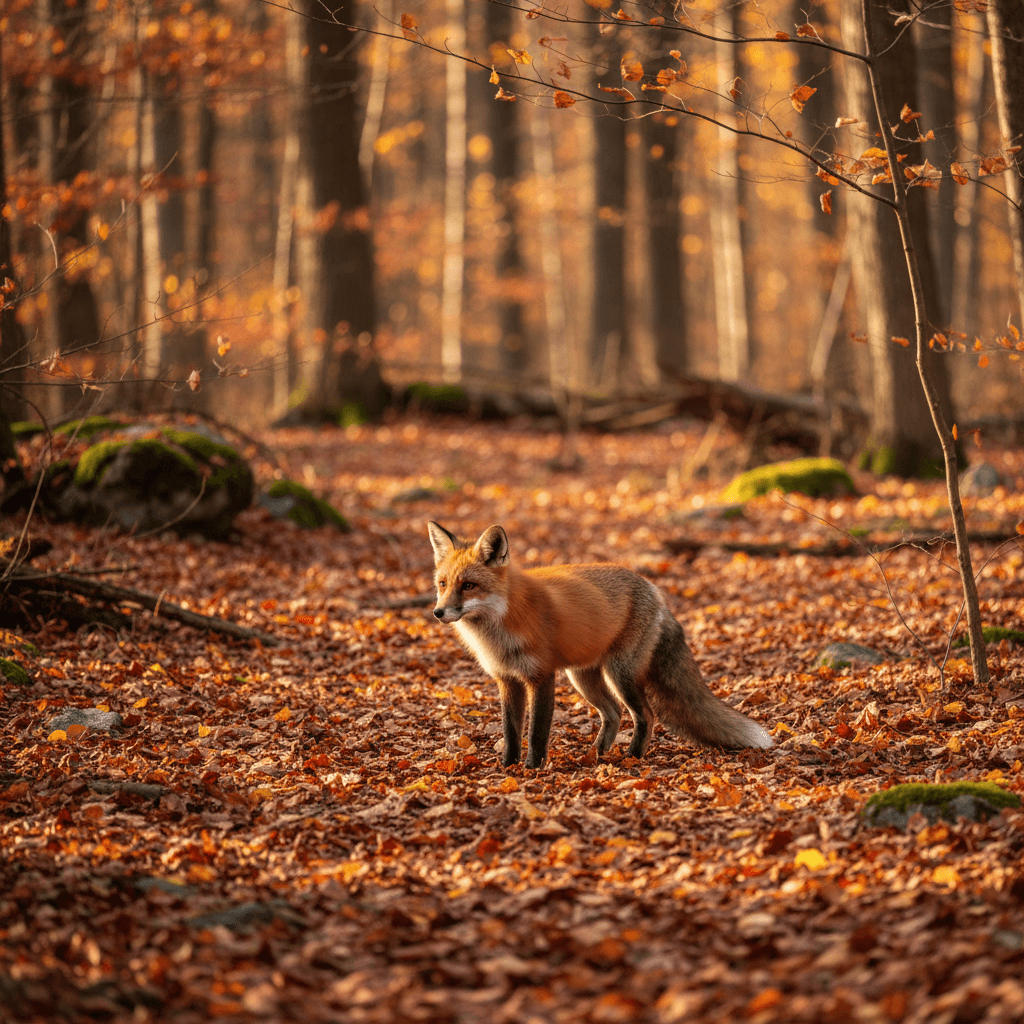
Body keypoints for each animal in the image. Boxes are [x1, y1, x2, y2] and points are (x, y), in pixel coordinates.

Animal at [427, 521, 772, 768]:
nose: (438, 612)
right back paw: (596, 756)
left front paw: (531, 769)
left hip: (619, 673)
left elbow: (536, 732)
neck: (502, 623)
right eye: (443, 584)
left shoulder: (542, 677)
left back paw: (632, 757)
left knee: (645, 715)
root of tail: (655, 590)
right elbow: (511, 731)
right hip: (583, 677)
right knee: (614, 714)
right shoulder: (507, 680)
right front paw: (507, 767)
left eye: (469, 586)